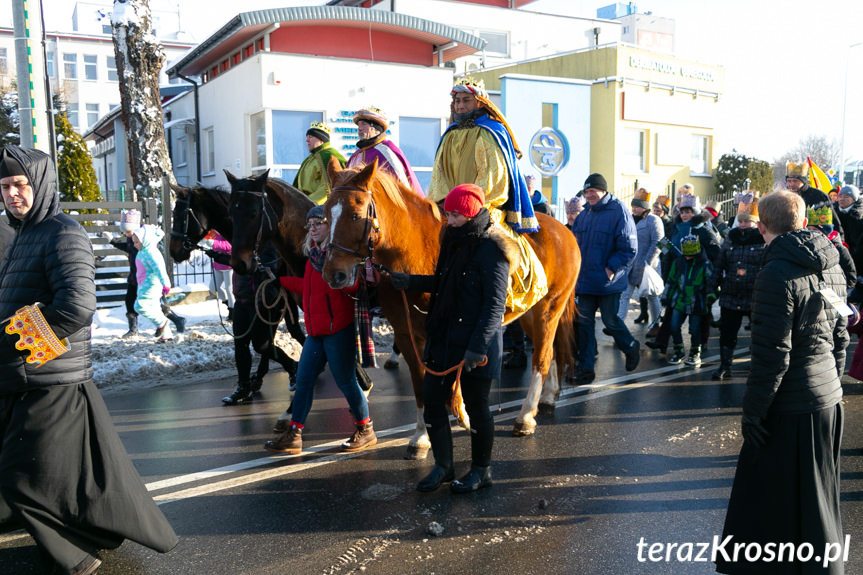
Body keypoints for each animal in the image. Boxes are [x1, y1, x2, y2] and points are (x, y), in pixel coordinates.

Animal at [324, 162, 580, 460]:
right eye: (325, 215)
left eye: (355, 215)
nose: (333, 274)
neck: (414, 253)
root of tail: (564, 230)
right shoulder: (407, 336)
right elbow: (420, 384)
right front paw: (422, 437)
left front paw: (461, 416)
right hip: (531, 314)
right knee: (551, 349)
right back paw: (548, 397)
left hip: (548, 309)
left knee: (541, 356)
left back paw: (526, 416)